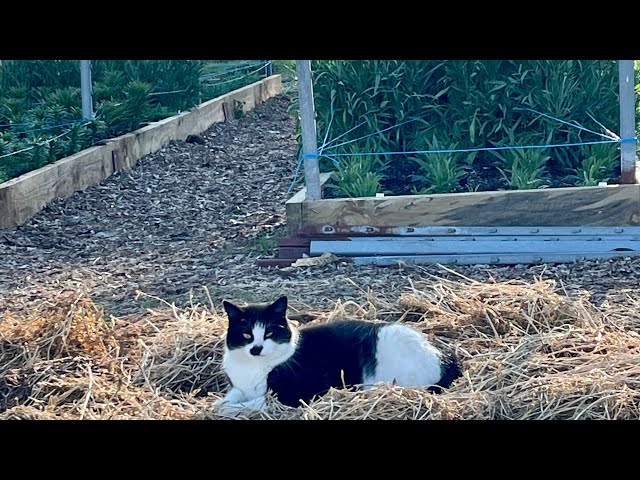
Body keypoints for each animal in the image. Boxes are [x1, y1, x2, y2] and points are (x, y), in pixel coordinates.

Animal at [212, 294, 462, 414]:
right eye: (246, 334)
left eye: (270, 332)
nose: (256, 348)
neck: (252, 368)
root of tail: (447, 357)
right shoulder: (238, 386)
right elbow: (232, 395)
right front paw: (221, 402)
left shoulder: (299, 393)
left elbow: (255, 402)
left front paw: (229, 408)